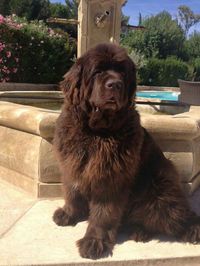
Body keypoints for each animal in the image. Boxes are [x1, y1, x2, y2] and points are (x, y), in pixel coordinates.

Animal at [52, 42, 200, 258]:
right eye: (98, 71)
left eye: (122, 73)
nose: (115, 84)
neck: (96, 132)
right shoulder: (72, 164)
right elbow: (72, 191)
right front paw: (69, 214)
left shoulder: (110, 176)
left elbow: (104, 213)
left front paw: (94, 241)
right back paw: (137, 230)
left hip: (160, 194)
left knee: (178, 219)